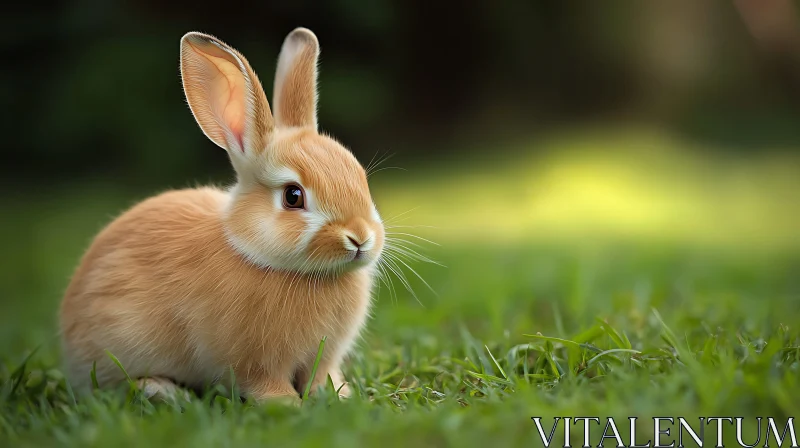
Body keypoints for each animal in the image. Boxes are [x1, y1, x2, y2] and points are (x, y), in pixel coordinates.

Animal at [58, 28, 384, 406]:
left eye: (360, 177)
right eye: (293, 196)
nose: (360, 237)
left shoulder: (323, 357)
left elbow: (321, 375)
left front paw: (338, 395)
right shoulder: (254, 362)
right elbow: (265, 382)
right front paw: (285, 404)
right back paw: (162, 390)